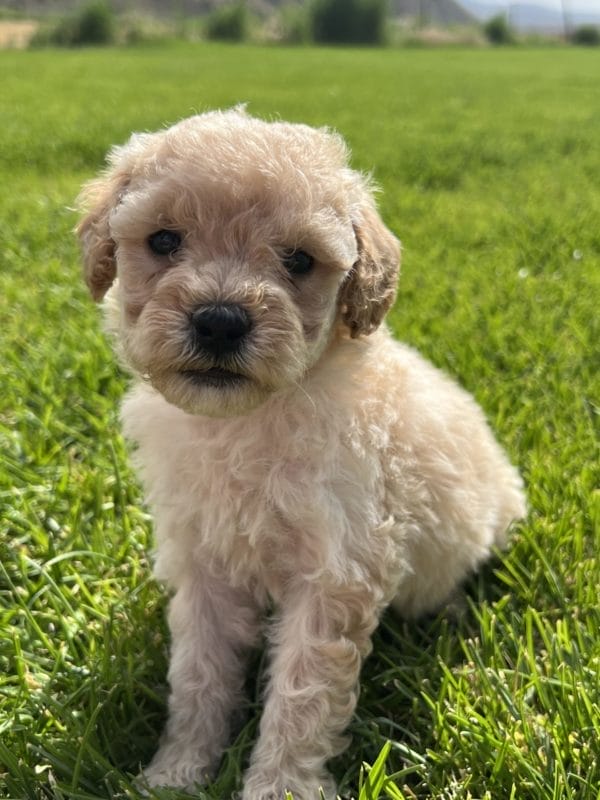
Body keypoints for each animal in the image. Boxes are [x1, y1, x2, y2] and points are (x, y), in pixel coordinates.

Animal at [76, 109, 524, 800]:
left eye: (298, 260)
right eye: (164, 241)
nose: (220, 320)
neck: (247, 421)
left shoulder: (336, 571)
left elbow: (301, 694)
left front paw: (279, 786)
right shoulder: (203, 561)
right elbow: (198, 674)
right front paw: (177, 772)